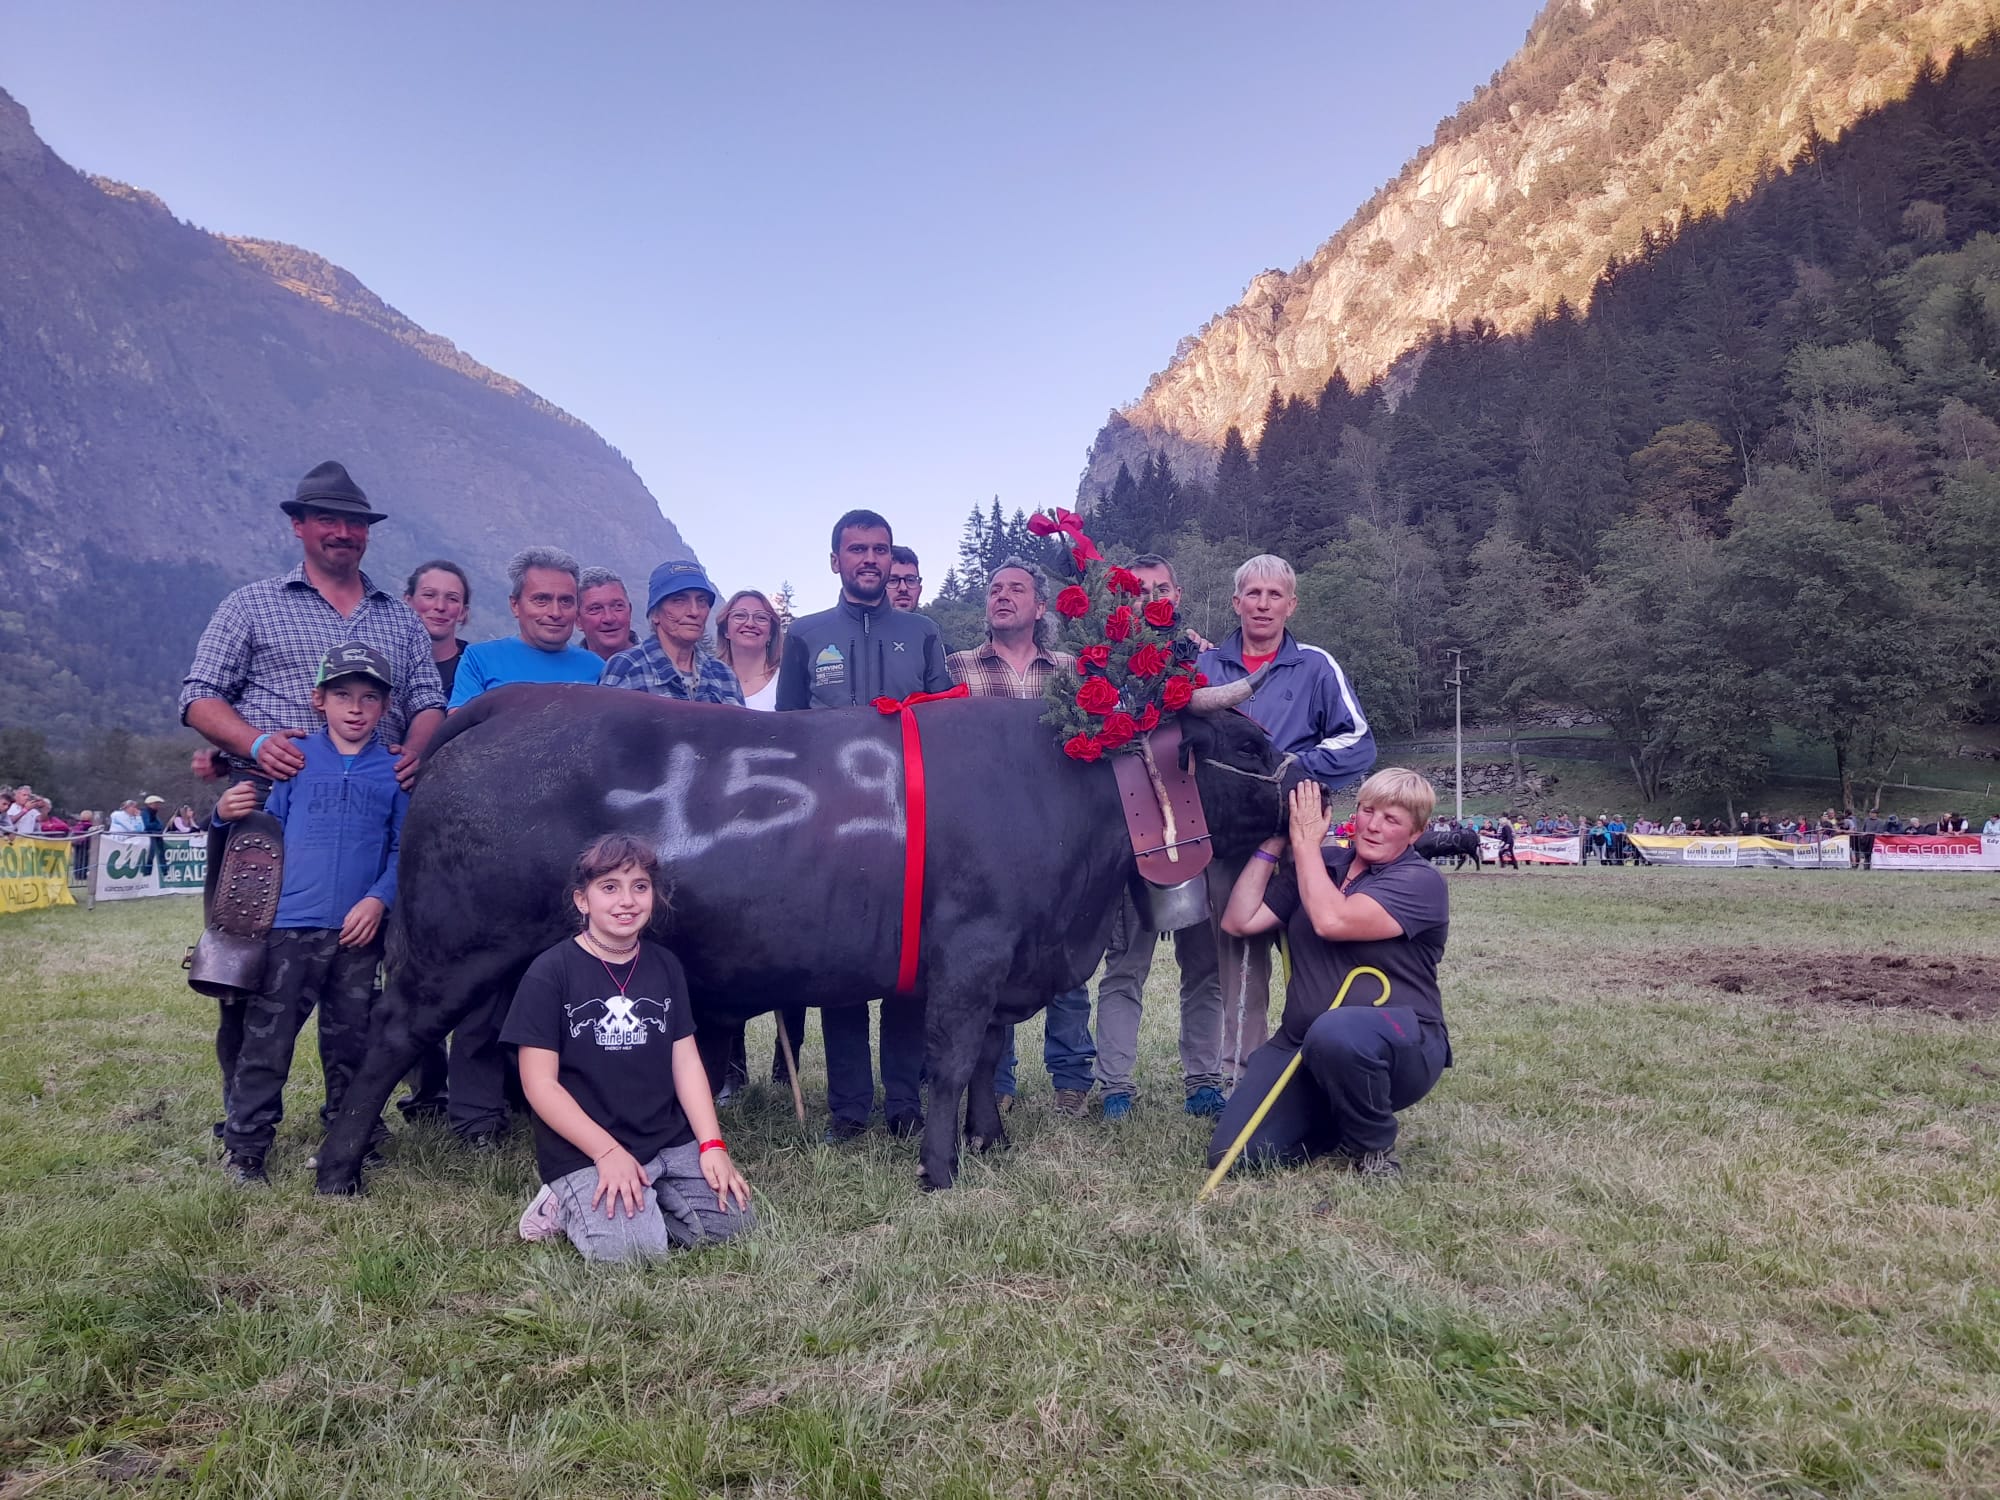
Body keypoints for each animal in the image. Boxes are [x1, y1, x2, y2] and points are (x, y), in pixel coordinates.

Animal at [318, 684, 1288, 1200]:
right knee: (387, 1040)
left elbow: (984, 1058)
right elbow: (948, 1061)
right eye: (1248, 743)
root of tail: (514, 700)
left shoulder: (1007, 957)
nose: (1308, 779)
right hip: (452, 948)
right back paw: (338, 1170)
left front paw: (992, 1142)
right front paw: (941, 1170)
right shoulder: (971, 953)